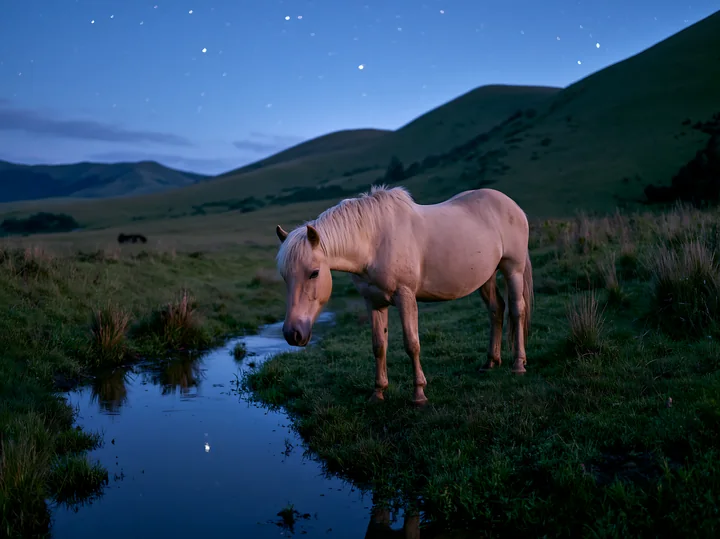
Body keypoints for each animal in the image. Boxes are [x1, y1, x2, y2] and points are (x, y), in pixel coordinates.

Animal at [275, 185, 534, 406]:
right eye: (285, 277)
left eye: (314, 273)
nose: (292, 334)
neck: (374, 241)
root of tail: (513, 206)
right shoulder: (374, 302)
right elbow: (379, 346)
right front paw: (378, 392)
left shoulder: (405, 296)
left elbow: (412, 344)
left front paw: (419, 394)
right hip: (486, 277)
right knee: (496, 310)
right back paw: (490, 362)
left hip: (513, 269)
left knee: (516, 310)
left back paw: (518, 365)